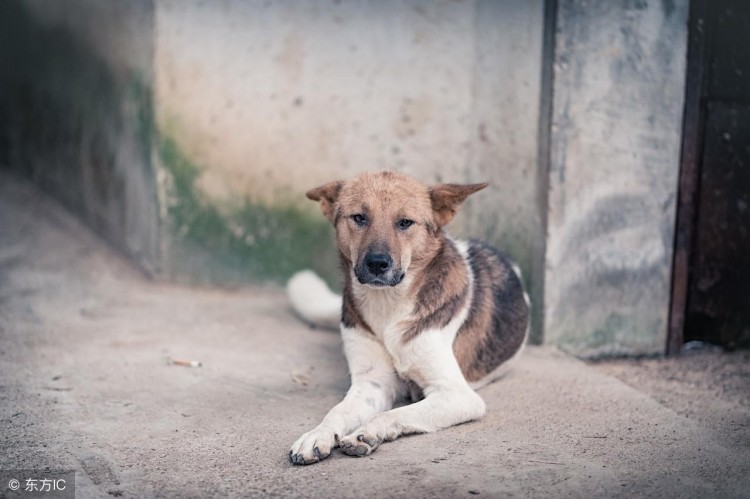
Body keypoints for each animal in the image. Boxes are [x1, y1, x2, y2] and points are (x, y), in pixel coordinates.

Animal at [286, 171, 528, 464]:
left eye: (405, 222)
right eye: (359, 218)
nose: (377, 263)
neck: (388, 306)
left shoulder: (457, 395)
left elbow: (396, 412)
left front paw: (368, 432)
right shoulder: (372, 384)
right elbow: (338, 411)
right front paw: (316, 435)